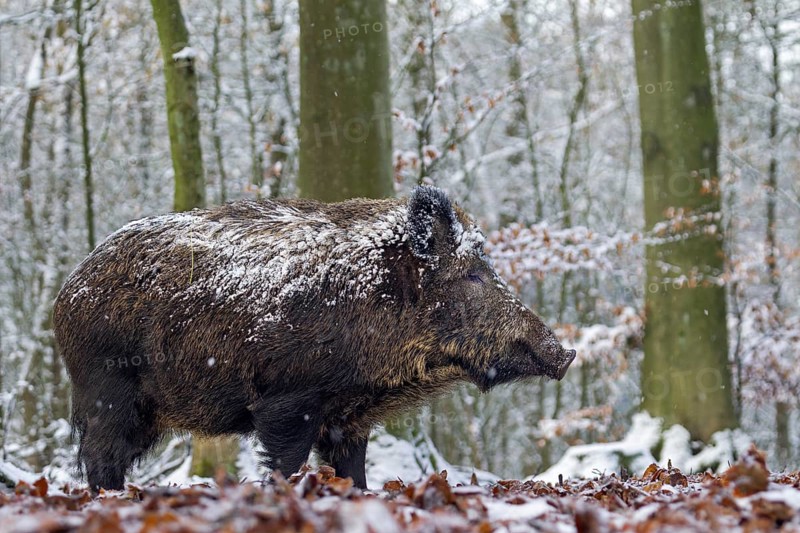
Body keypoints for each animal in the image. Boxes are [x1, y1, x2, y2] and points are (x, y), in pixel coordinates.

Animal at [53, 186, 575, 491]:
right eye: (473, 275)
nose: (566, 352)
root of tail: (66, 294)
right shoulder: (289, 400)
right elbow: (284, 464)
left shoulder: (350, 418)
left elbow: (354, 473)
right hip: (110, 392)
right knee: (100, 458)